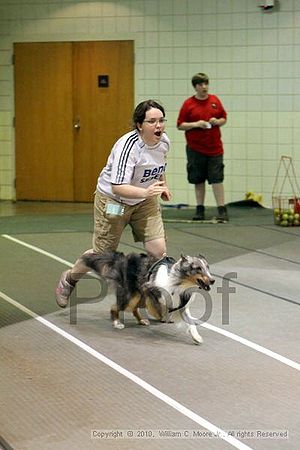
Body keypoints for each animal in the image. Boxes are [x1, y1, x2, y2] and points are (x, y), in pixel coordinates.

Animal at [81, 251, 214, 342]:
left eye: (208, 267)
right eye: (198, 268)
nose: (213, 280)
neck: (180, 283)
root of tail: (123, 258)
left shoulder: (182, 305)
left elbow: (191, 322)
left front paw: (196, 337)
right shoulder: (150, 289)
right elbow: (159, 307)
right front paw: (163, 316)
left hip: (138, 296)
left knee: (133, 309)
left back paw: (141, 320)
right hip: (132, 295)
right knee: (115, 307)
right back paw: (117, 323)